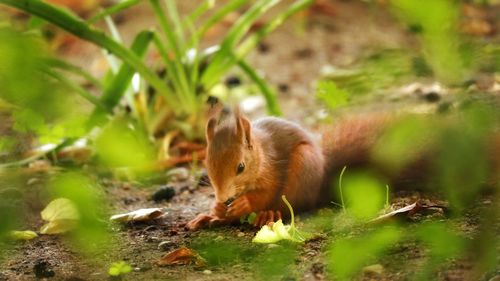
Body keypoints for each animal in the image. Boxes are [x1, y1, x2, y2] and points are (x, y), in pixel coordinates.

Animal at [188, 106, 500, 229]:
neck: (261, 156)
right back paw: (209, 218)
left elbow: (263, 193)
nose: (224, 197)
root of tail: (323, 178)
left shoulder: (272, 169)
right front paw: (216, 208)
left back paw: (268, 214)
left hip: (303, 168)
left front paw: (246, 204)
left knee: (292, 204)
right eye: (207, 165)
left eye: (240, 166)